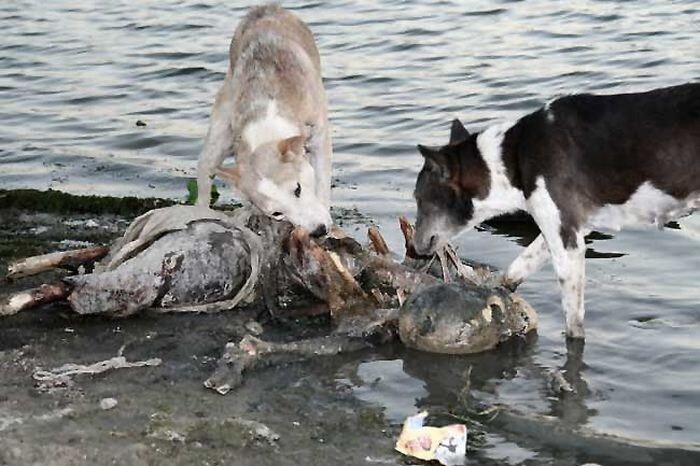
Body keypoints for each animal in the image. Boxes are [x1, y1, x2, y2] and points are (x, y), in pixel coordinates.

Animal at [194, 4, 330, 233]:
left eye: (298, 189)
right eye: (277, 213)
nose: (319, 231)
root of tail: (263, 8)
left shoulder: (320, 139)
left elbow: (322, 183)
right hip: (218, 137)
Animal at [412, 83, 700, 336]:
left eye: (418, 198)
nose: (414, 248)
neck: (513, 159)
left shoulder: (567, 242)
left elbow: (573, 325)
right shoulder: (565, 226)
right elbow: (516, 269)